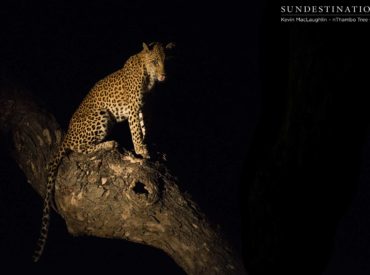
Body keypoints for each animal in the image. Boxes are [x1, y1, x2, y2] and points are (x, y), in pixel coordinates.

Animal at [32, 41, 175, 264]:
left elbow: (144, 129)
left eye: (166, 61)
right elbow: (136, 131)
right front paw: (140, 151)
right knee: (79, 149)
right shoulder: (133, 107)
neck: (148, 77)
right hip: (101, 115)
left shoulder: (144, 107)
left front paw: (150, 147)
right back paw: (110, 145)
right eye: (154, 62)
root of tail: (66, 136)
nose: (164, 76)